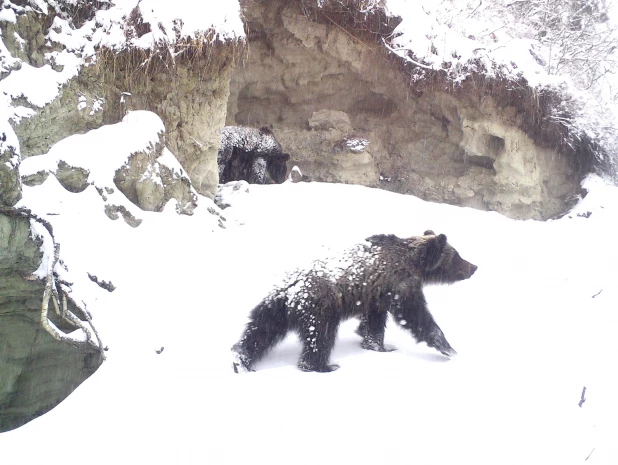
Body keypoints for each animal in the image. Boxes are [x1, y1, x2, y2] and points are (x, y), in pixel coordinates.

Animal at [231, 230, 476, 372]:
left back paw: (240, 358)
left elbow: (374, 322)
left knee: (259, 331)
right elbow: (416, 317)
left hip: (274, 309)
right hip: (321, 306)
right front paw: (449, 349)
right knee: (321, 336)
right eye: (457, 256)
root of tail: (290, 290)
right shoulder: (400, 285)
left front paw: (377, 345)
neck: (414, 262)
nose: (474, 266)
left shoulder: (377, 294)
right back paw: (323, 365)